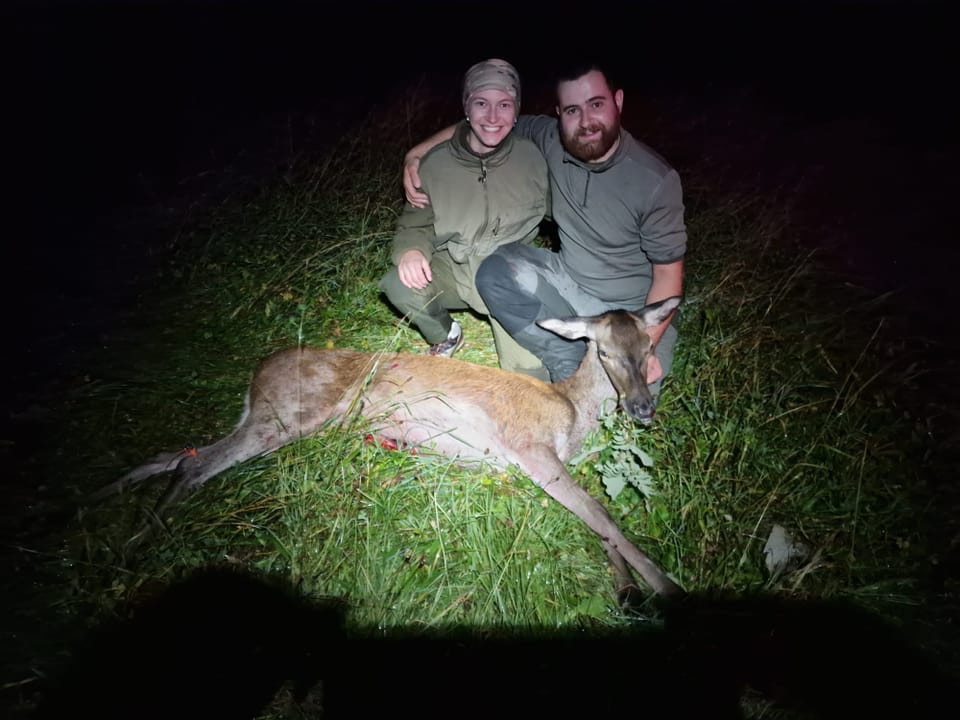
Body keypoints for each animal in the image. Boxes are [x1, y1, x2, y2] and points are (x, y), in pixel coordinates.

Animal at [90, 296, 688, 600]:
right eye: (604, 351)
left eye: (648, 347)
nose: (643, 409)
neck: (570, 412)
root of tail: (257, 372)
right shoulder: (530, 448)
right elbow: (605, 518)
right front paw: (664, 587)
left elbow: (598, 527)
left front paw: (626, 589)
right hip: (287, 418)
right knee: (195, 466)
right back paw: (133, 547)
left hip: (268, 419)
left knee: (176, 454)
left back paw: (104, 503)